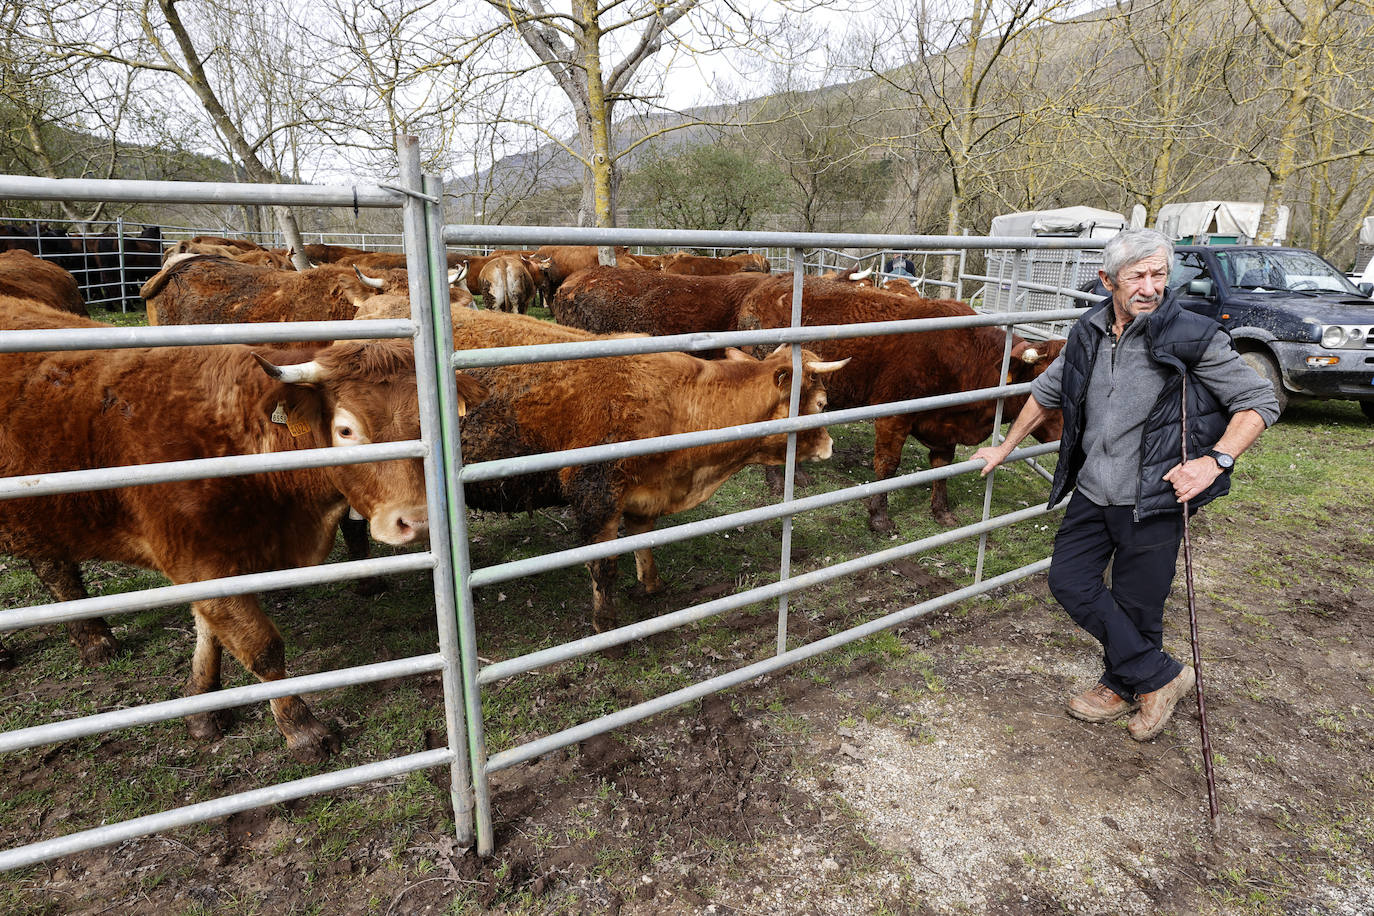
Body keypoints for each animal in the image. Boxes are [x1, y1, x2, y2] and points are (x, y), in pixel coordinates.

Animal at [0, 299, 489, 758]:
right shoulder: (198, 560)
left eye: (427, 424)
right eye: (346, 430)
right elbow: (260, 646)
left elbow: (210, 632)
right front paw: (302, 729)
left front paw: (202, 707)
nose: (416, 521)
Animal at [450, 307, 840, 631]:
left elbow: (643, 537)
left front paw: (651, 584)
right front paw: (606, 626)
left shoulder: (645, 490)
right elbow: (604, 565)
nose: (830, 446)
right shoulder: (596, 493)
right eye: (822, 403)